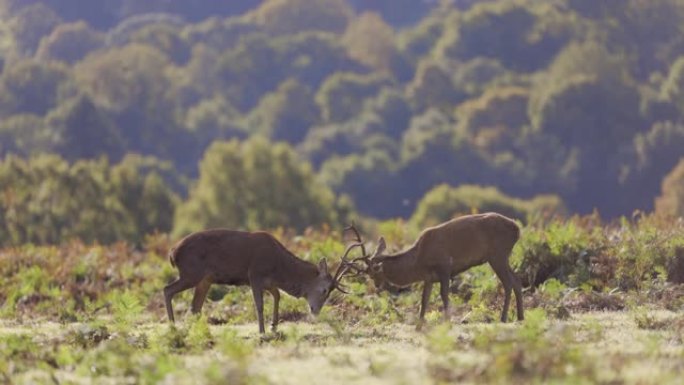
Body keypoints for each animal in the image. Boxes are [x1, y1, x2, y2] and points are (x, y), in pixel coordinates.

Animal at [164, 228, 358, 332]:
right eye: (324, 290)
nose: (316, 311)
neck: (279, 268)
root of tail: (172, 253)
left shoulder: (269, 282)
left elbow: (277, 296)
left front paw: (274, 326)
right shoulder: (254, 275)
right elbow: (259, 304)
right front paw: (262, 330)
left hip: (205, 279)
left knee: (195, 306)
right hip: (191, 273)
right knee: (167, 290)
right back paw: (172, 325)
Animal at [344, 213, 528, 328]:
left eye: (373, 273)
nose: (376, 285)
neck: (419, 262)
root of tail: (517, 229)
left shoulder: (445, 267)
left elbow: (444, 295)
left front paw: (447, 321)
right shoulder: (429, 278)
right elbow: (424, 300)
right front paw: (419, 326)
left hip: (497, 254)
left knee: (508, 283)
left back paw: (503, 318)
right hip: (501, 256)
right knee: (517, 280)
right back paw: (520, 316)